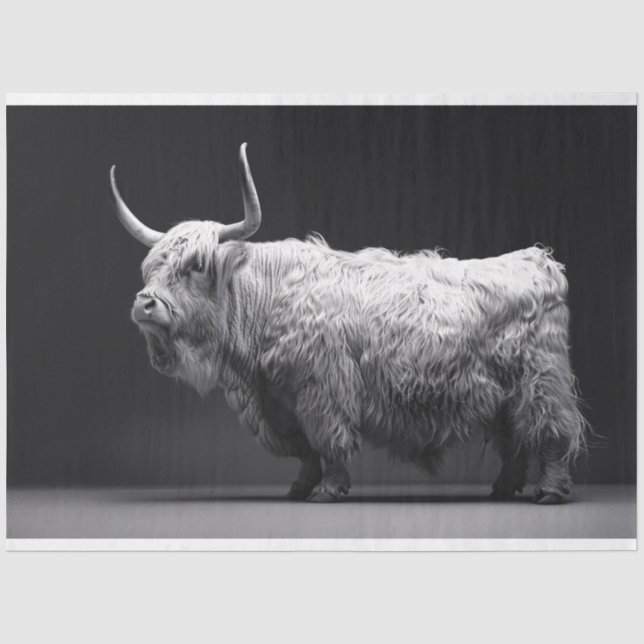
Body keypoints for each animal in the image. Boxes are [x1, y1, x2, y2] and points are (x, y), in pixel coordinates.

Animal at [109, 143, 587, 504]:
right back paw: (504, 487)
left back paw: (550, 491)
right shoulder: (280, 401)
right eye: (151, 267)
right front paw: (300, 487)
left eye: (196, 265)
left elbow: (329, 441)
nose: (145, 304)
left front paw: (328, 490)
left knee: (552, 430)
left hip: (541, 378)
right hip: (502, 392)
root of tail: (538, 259)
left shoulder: (323, 388)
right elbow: (305, 450)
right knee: (513, 437)